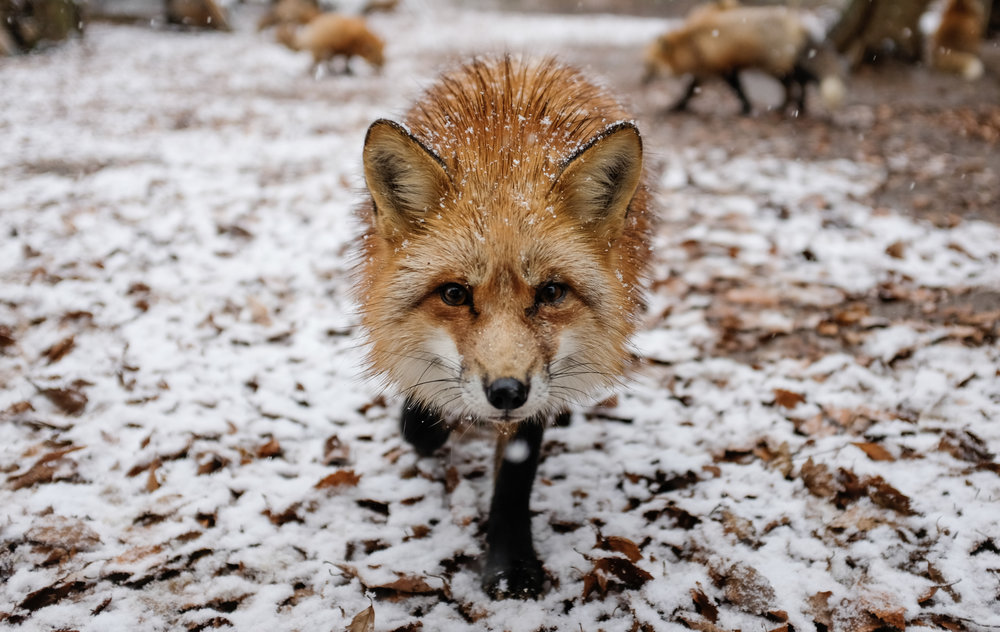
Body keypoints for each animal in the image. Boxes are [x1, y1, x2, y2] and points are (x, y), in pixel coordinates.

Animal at [355, 55, 652, 598]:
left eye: (551, 293)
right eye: (455, 294)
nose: (507, 393)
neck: (504, 153)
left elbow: (516, 473)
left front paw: (511, 565)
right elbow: (421, 420)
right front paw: (428, 419)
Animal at [643, 1, 846, 115]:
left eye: (649, 65)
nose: (641, 81)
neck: (695, 45)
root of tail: (799, 24)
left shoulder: (726, 68)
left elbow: (738, 91)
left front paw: (746, 110)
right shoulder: (704, 72)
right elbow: (688, 93)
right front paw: (676, 107)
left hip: (774, 68)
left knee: (797, 83)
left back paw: (794, 107)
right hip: (779, 67)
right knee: (800, 82)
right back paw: (795, 107)